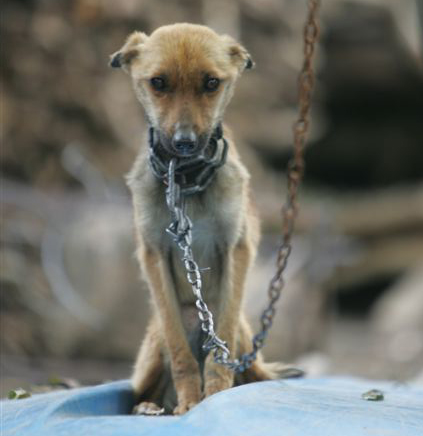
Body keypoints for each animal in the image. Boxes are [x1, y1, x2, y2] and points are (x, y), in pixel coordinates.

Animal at [109, 23, 284, 416]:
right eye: (158, 82)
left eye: (211, 83)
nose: (185, 142)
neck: (187, 181)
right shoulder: (154, 255)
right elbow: (181, 352)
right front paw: (191, 400)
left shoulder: (237, 248)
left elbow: (221, 349)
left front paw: (216, 395)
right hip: (156, 341)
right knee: (143, 387)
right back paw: (149, 406)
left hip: (243, 335)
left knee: (246, 363)